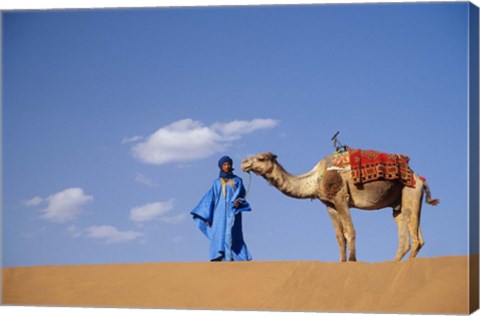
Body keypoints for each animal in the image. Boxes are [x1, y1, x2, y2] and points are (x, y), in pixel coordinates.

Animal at [242, 151, 440, 262]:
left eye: (261, 158)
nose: (244, 163)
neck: (315, 179)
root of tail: (420, 179)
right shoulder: (329, 205)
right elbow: (339, 237)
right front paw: (342, 262)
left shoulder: (341, 198)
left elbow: (350, 231)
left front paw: (352, 261)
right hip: (400, 202)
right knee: (406, 232)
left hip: (410, 192)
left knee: (415, 235)